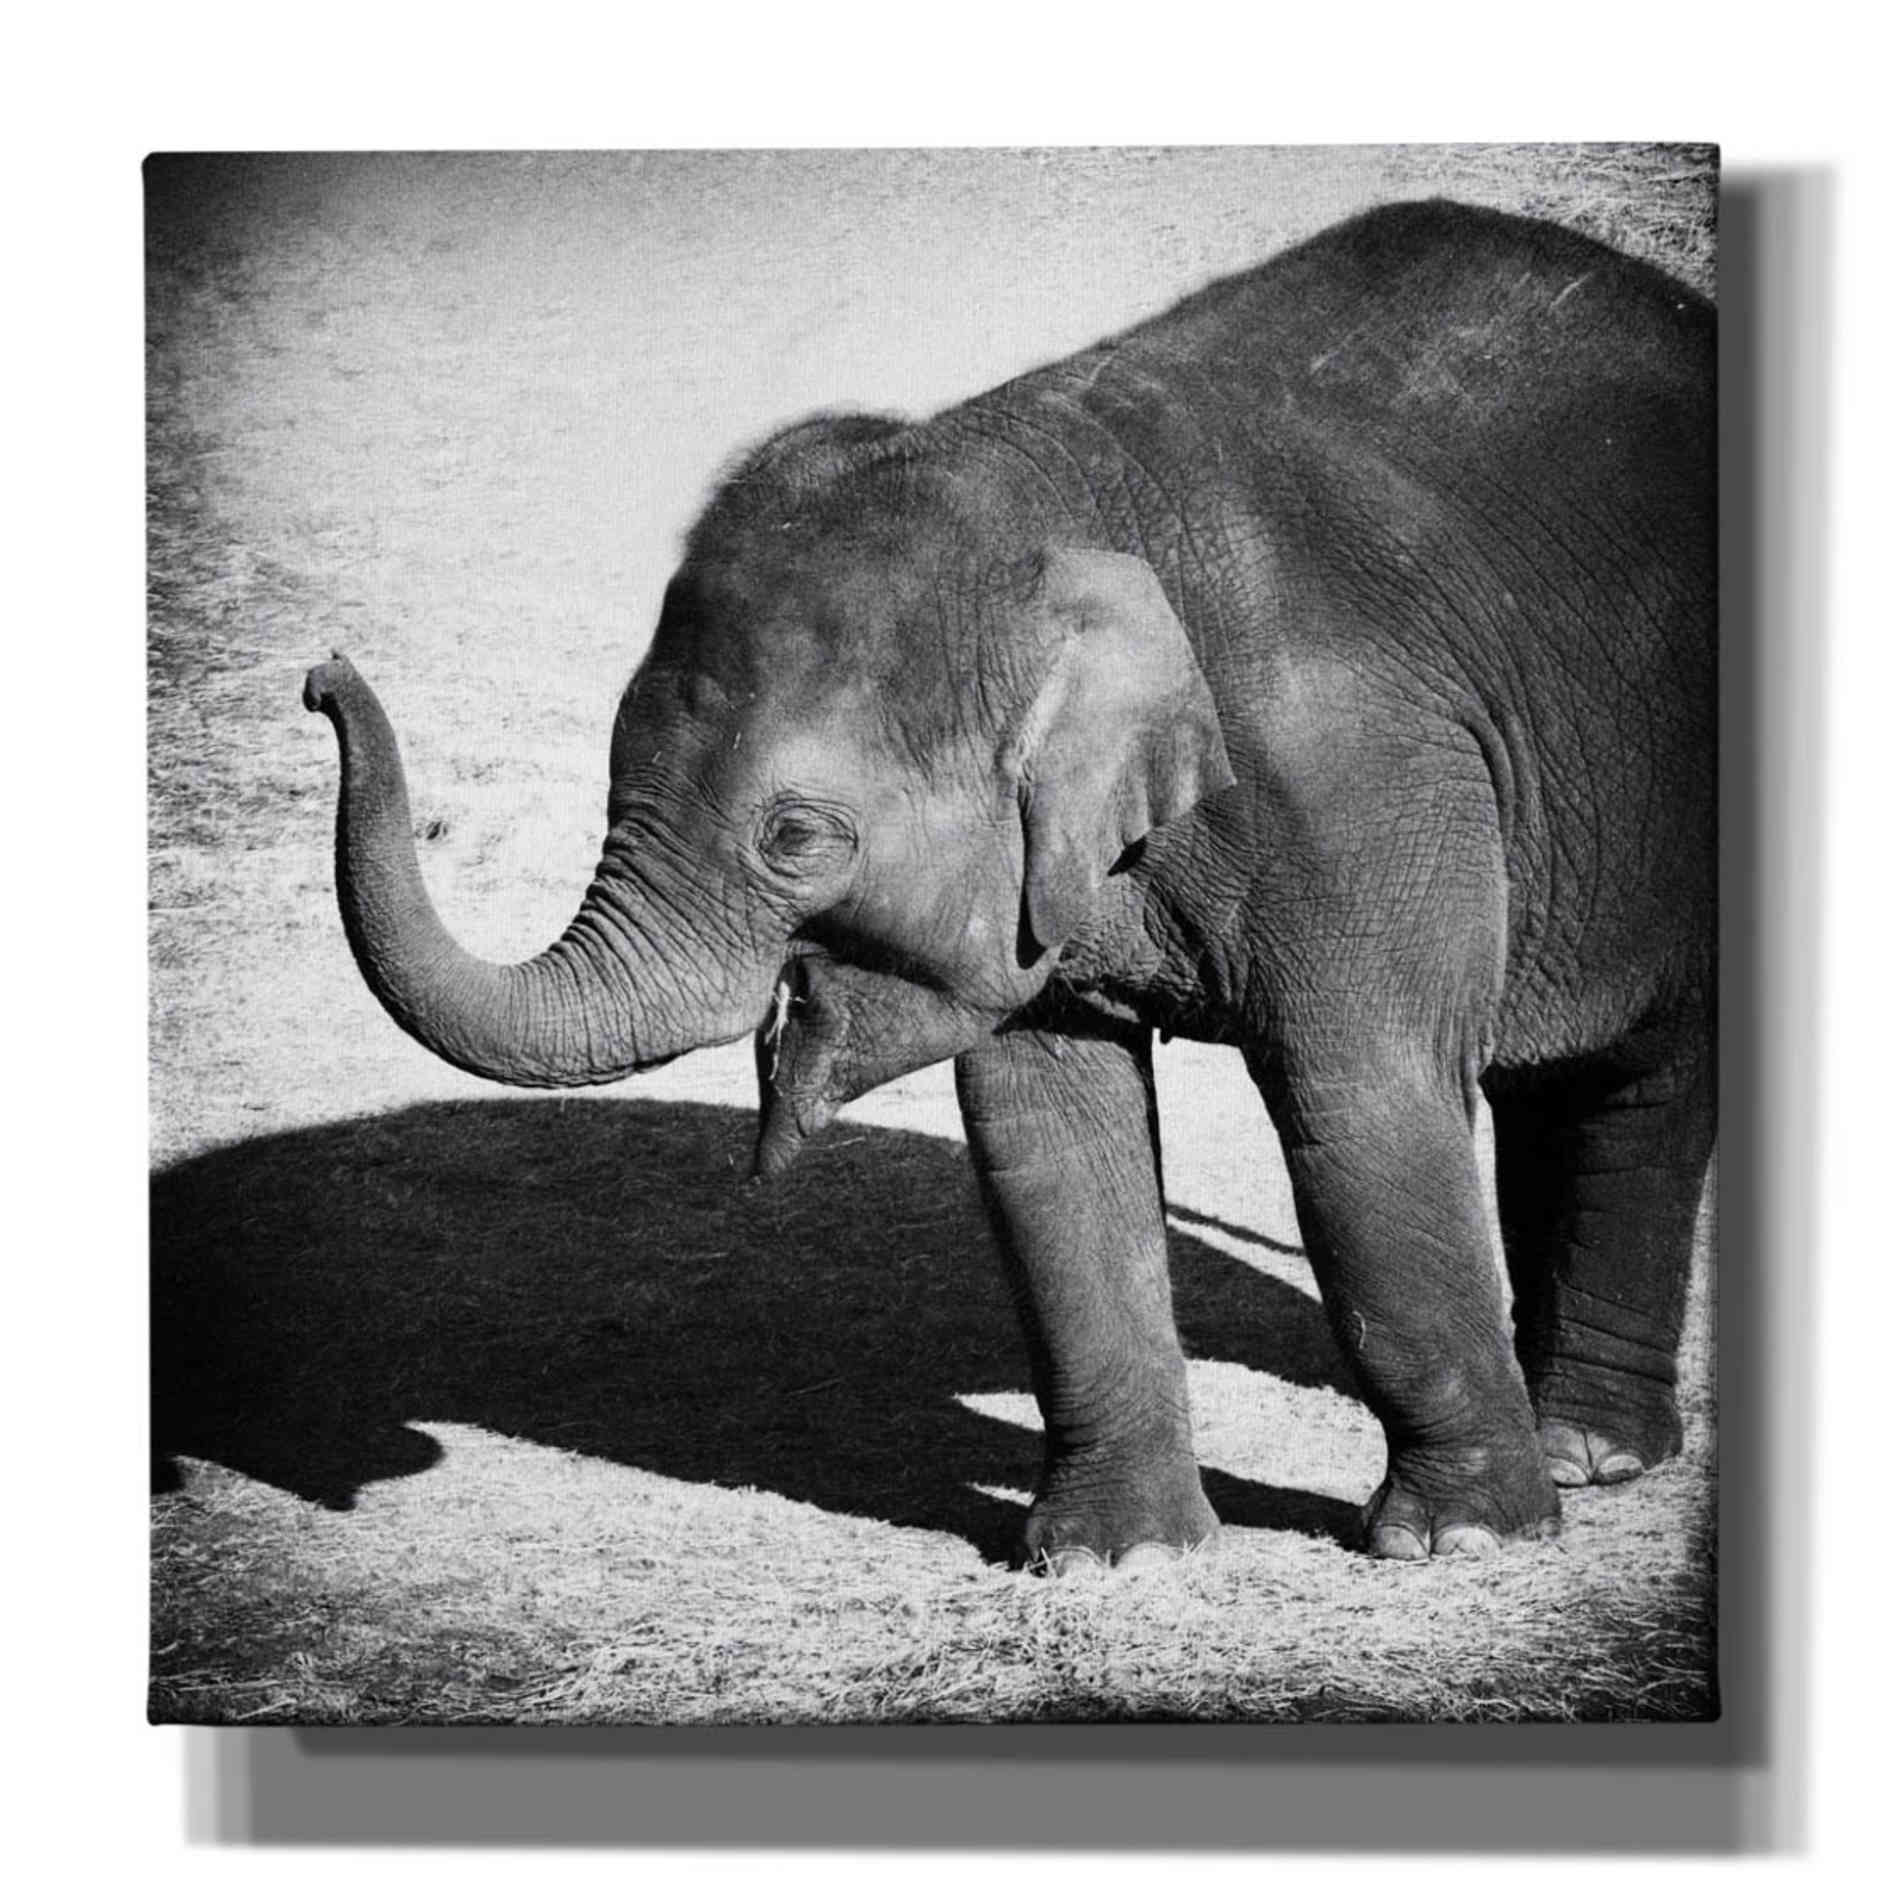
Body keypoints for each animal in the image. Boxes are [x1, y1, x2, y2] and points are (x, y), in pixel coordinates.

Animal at [306, 199, 1714, 1573]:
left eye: (796, 837)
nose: (321, 674)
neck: (1051, 504)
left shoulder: (1359, 780)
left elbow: (1363, 1096)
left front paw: (1458, 1541)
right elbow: (1046, 1126)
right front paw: (1114, 1562)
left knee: (1646, 1079)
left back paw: (1581, 1457)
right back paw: (1582, 1447)